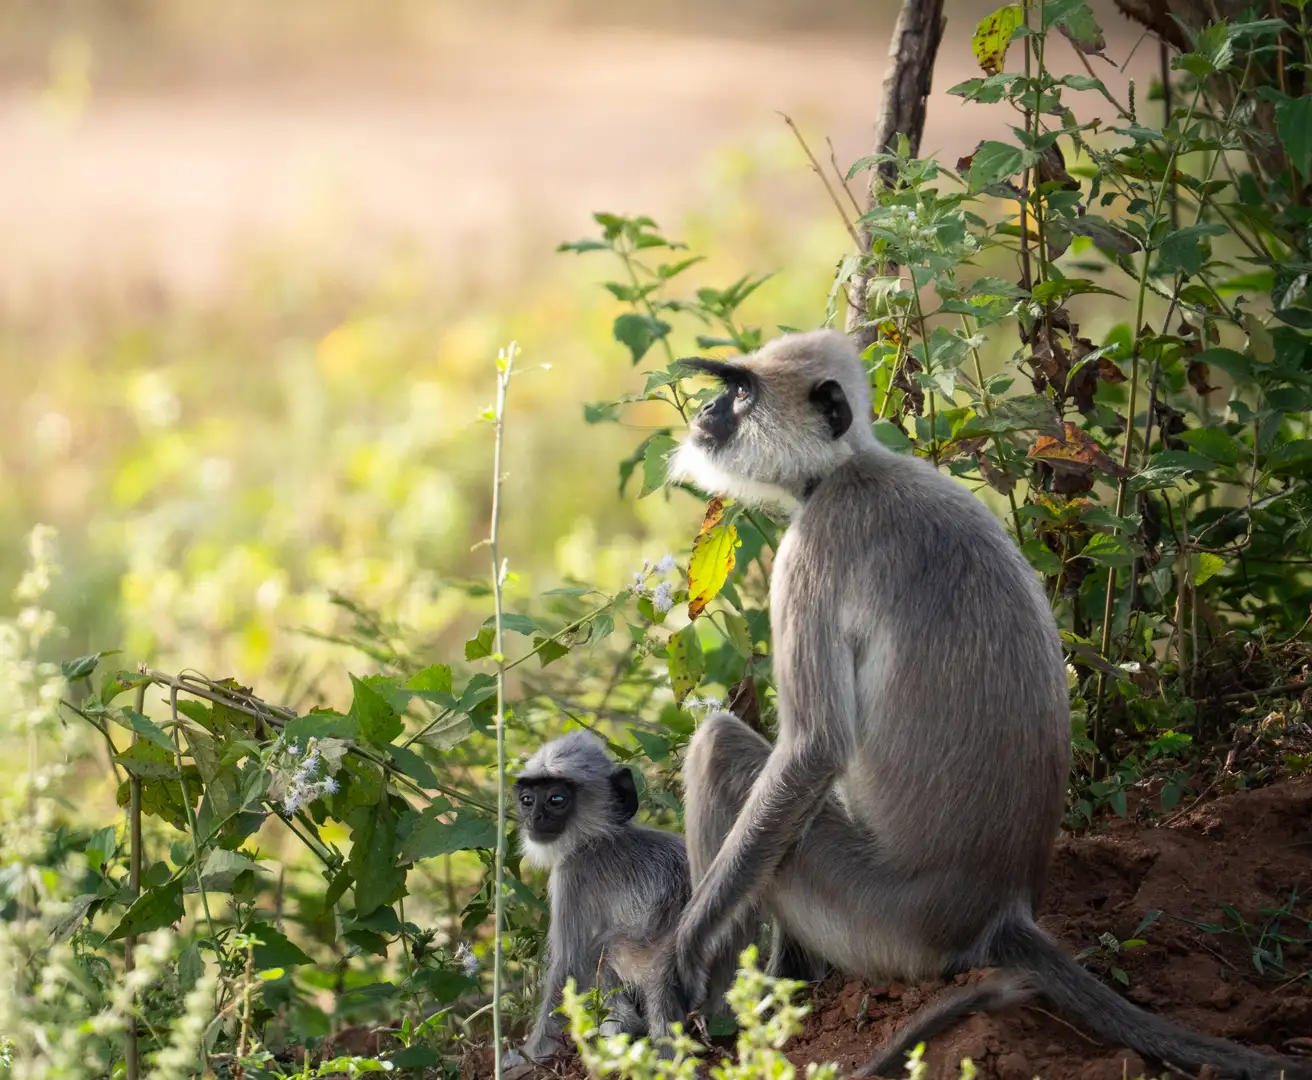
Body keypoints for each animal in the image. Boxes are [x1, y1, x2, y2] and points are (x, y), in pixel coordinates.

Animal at [510, 731, 690, 1063]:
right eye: (527, 800)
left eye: (556, 800)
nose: (535, 817)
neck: (600, 837)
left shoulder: (571, 873)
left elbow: (567, 965)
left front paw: (531, 1054)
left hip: (636, 954)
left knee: (598, 951)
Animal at [659, 329, 1308, 1080]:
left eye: (741, 393)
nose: (710, 411)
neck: (849, 470)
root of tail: (1001, 912)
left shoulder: (816, 545)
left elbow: (813, 749)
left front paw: (682, 956)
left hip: (878, 919)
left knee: (719, 749)